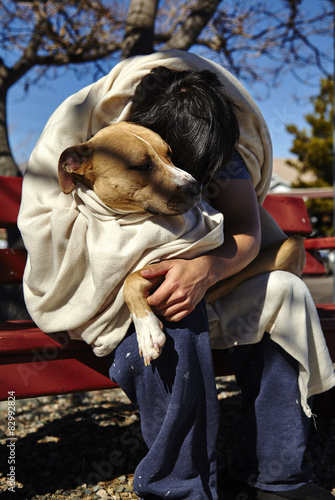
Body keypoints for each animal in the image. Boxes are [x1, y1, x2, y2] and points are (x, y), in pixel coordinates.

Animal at [58, 119, 308, 366]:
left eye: (170, 154)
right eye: (142, 166)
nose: (197, 187)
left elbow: (131, 280)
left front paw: (147, 331)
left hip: (293, 244)